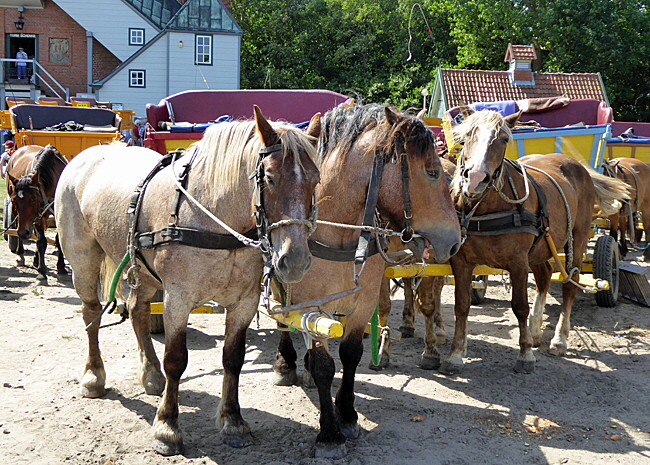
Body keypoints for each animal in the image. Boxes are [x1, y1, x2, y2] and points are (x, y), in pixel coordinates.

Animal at [4, 142, 67, 280]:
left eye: (33, 199)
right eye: (14, 200)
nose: (23, 232)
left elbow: (58, 239)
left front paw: (61, 266)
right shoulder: (38, 216)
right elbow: (41, 241)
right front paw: (41, 271)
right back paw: (21, 254)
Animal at [54, 106, 322, 456]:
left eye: (316, 180)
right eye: (270, 178)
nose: (296, 260)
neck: (213, 217)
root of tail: (88, 155)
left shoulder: (244, 302)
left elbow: (232, 359)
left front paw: (232, 420)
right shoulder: (177, 299)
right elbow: (176, 360)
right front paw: (167, 427)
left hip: (144, 274)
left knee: (138, 312)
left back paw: (151, 374)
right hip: (84, 260)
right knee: (90, 314)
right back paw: (93, 376)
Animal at [270, 102, 460, 456]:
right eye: (432, 172)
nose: (455, 241)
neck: (339, 234)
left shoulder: (364, 302)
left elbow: (351, 354)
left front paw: (347, 415)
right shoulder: (313, 307)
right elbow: (324, 364)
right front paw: (329, 433)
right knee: (281, 319)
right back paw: (285, 363)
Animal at [436, 110, 628, 376]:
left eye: (504, 139)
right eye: (466, 136)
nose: (475, 178)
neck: (485, 209)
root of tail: (577, 166)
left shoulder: (517, 263)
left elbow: (519, 306)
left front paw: (525, 354)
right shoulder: (462, 262)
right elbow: (462, 305)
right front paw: (455, 355)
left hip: (576, 240)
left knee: (570, 284)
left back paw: (560, 339)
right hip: (541, 248)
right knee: (545, 276)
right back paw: (536, 330)